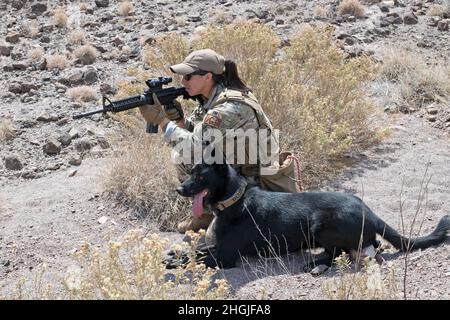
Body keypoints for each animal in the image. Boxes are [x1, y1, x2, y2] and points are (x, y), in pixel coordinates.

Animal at [174, 164, 448, 272]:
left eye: (200, 175)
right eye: (191, 172)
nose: (179, 189)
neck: (233, 199)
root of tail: (368, 209)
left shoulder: (225, 257)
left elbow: (197, 258)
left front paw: (174, 262)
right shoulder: (216, 245)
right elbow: (195, 250)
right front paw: (172, 254)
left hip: (318, 224)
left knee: (339, 252)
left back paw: (314, 263)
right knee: (373, 244)